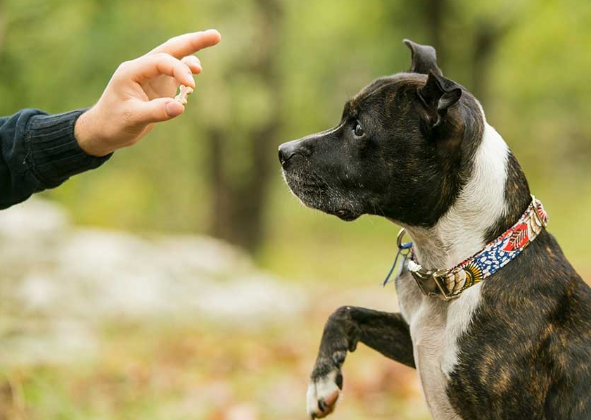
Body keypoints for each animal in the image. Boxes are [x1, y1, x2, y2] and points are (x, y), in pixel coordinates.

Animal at [278, 39, 591, 420]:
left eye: (359, 128)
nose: (283, 152)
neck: (462, 267)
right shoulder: (413, 336)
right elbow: (344, 312)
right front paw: (321, 381)